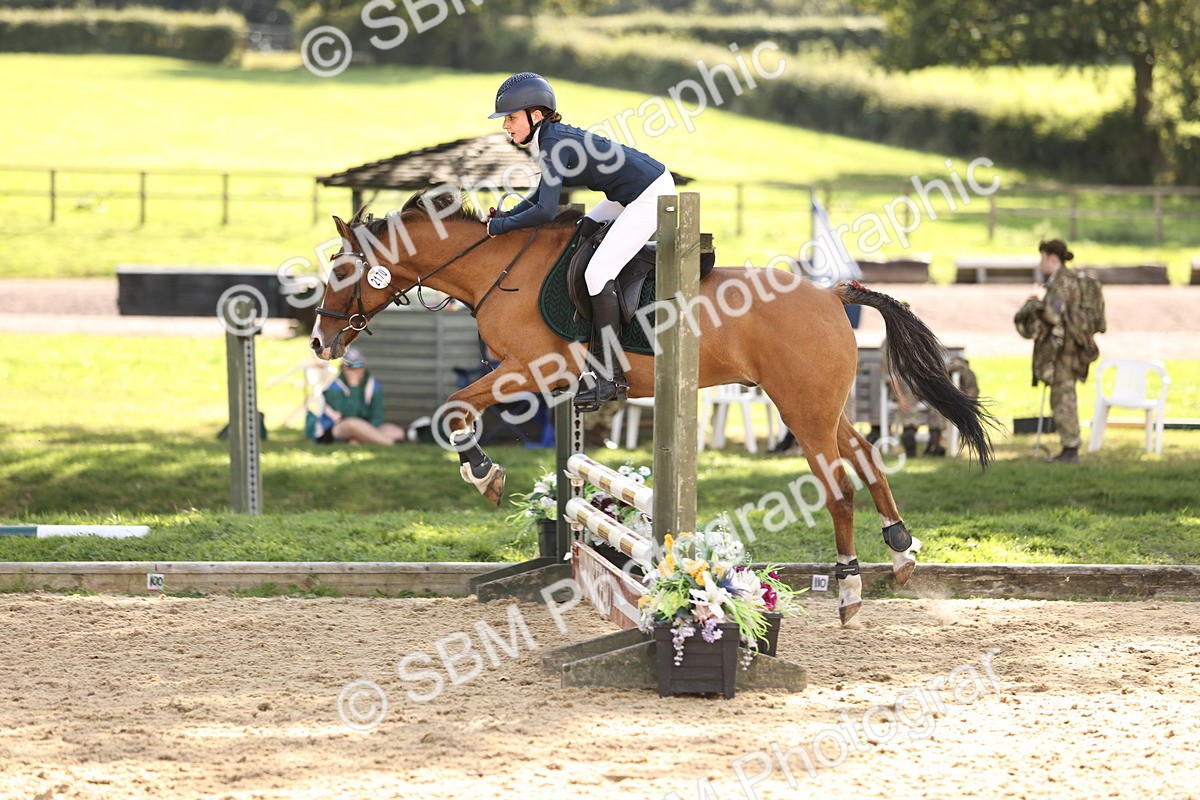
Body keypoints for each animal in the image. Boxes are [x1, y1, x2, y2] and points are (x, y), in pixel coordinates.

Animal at [310, 190, 993, 625]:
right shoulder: (537, 377)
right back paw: (901, 552)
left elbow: (453, 409)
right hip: (818, 406)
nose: (319, 342)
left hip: (801, 411)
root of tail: (834, 294)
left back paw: (849, 588)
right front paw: (488, 473)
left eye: (342, 271)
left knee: (839, 488)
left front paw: (484, 474)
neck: (494, 269)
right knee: (868, 455)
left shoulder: (533, 368)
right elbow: (460, 411)